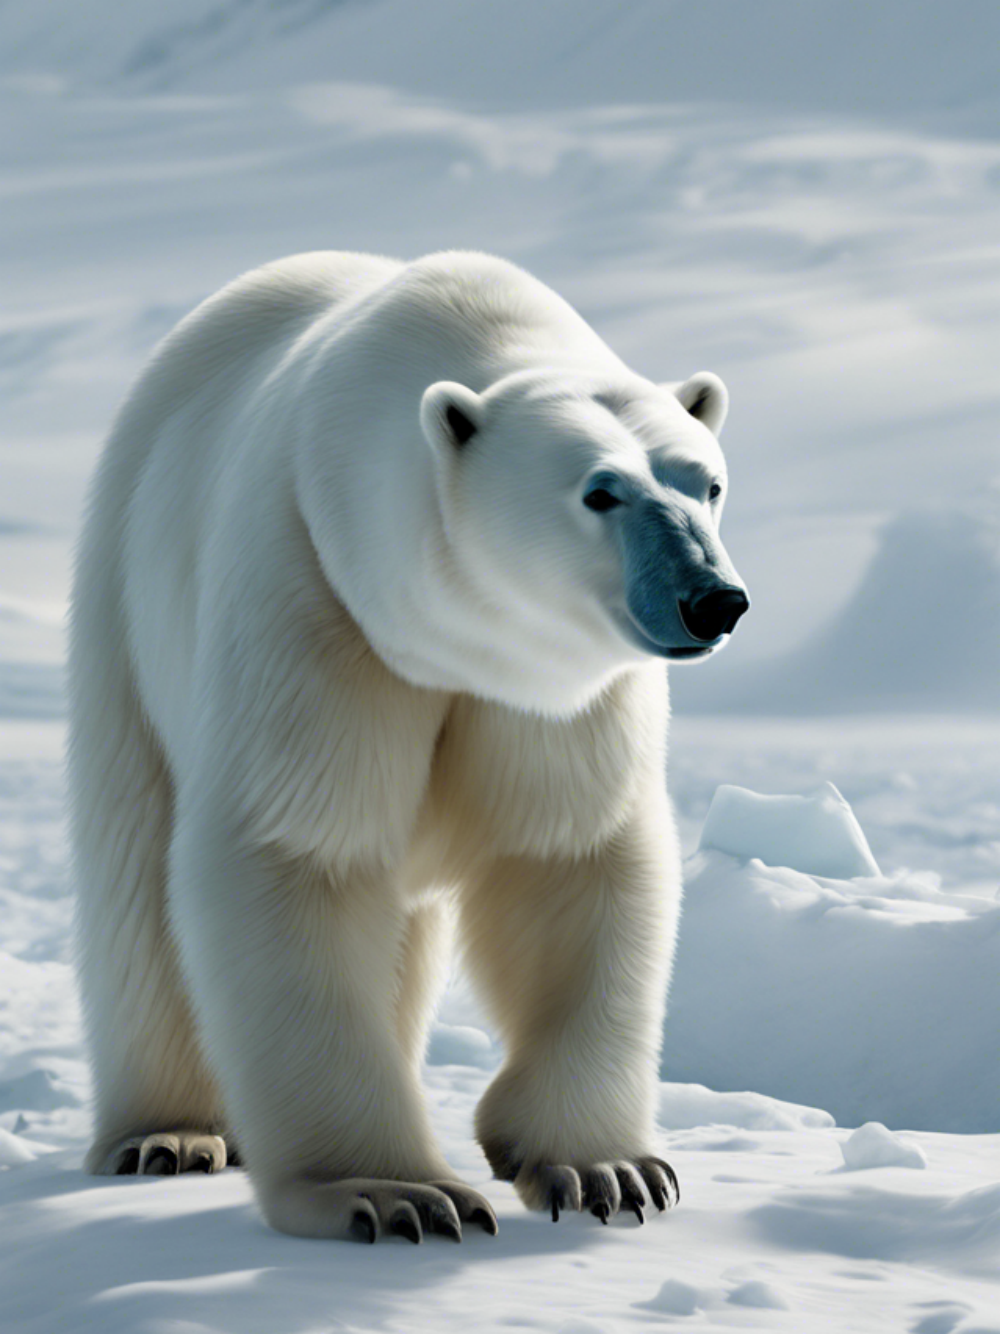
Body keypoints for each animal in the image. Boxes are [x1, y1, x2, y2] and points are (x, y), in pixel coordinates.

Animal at [68, 250, 749, 1243]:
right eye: (600, 490)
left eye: (707, 481)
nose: (712, 600)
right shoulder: (311, 595)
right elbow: (300, 852)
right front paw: (394, 1193)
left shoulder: (553, 691)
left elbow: (570, 859)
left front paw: (607, 1169)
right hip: (124, 607)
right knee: (135, 876)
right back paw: (169, 1133)